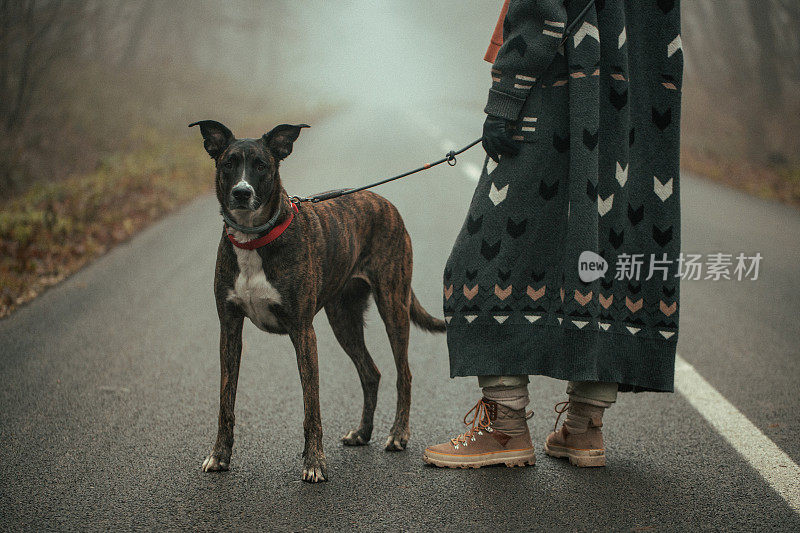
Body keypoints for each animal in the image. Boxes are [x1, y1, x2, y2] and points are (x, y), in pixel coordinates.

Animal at [191, 120, 446, 482]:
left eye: (261, 166)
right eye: (228, 163)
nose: (242, 193)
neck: (254, 239)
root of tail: (384, 201)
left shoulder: (302, 332)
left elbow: (312, 408)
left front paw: (314, 462)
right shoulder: (229, 329)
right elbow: (226, 401)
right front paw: (220, 455)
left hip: (392, 304)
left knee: (404, 374)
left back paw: (398, 434)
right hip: (343, 318)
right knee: (371, 373)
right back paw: (362, 432)